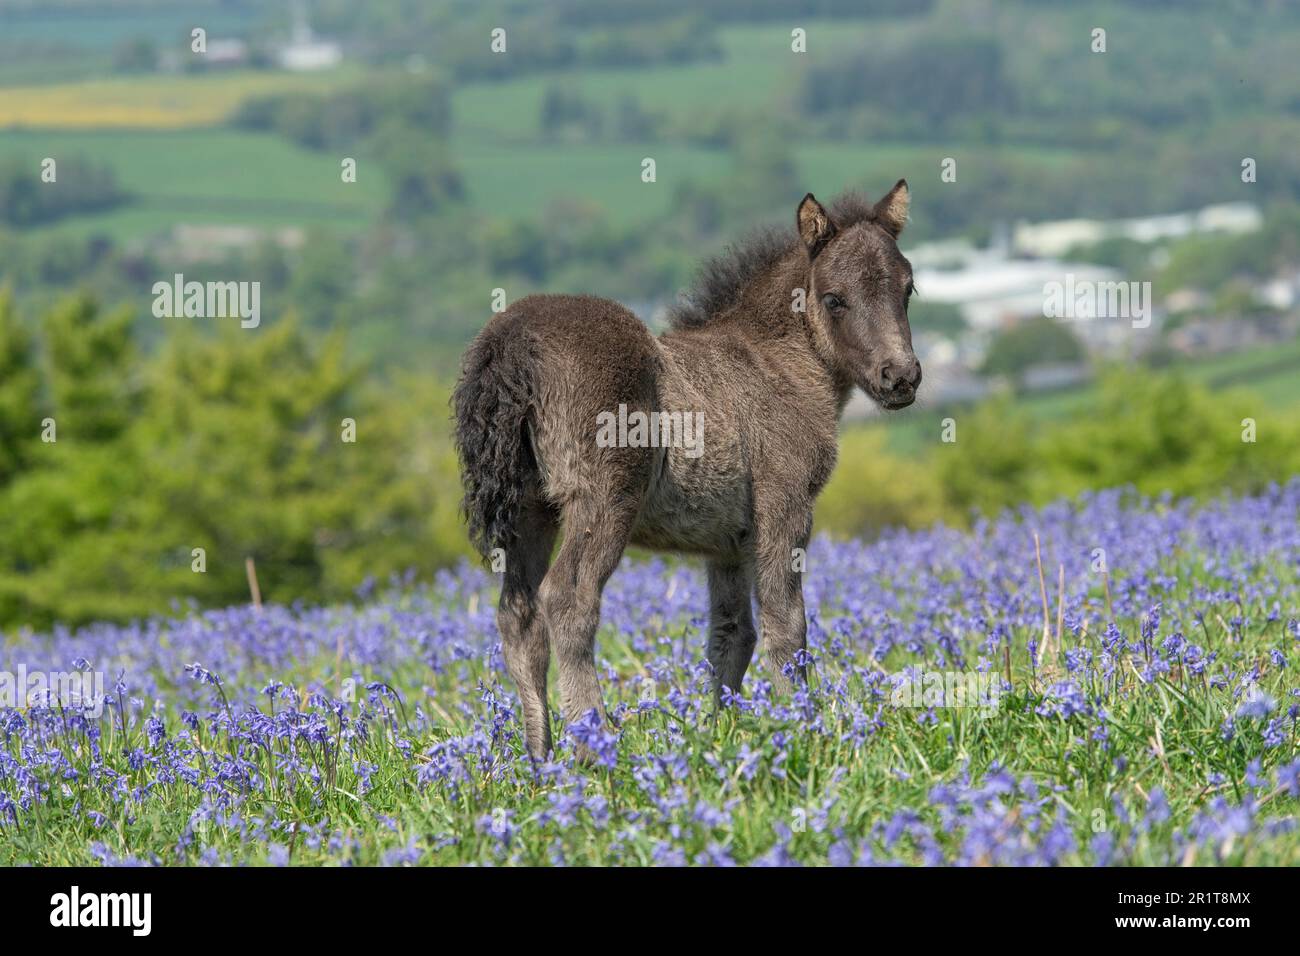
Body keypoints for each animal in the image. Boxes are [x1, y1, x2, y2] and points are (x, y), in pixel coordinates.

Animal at [452, 180, 920, 764]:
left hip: (529, 509)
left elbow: (732, 634)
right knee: (567, 599)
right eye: (835, 299)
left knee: (517, 614)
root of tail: (511, 344)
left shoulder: (728, 542)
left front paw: (722, 732)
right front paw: (802, 728)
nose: (901, 377)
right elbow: (788, 624)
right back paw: (593, 746)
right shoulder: (785, 505)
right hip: (603, 497)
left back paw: (541, 759)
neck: (776, 361)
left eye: (909, 289)